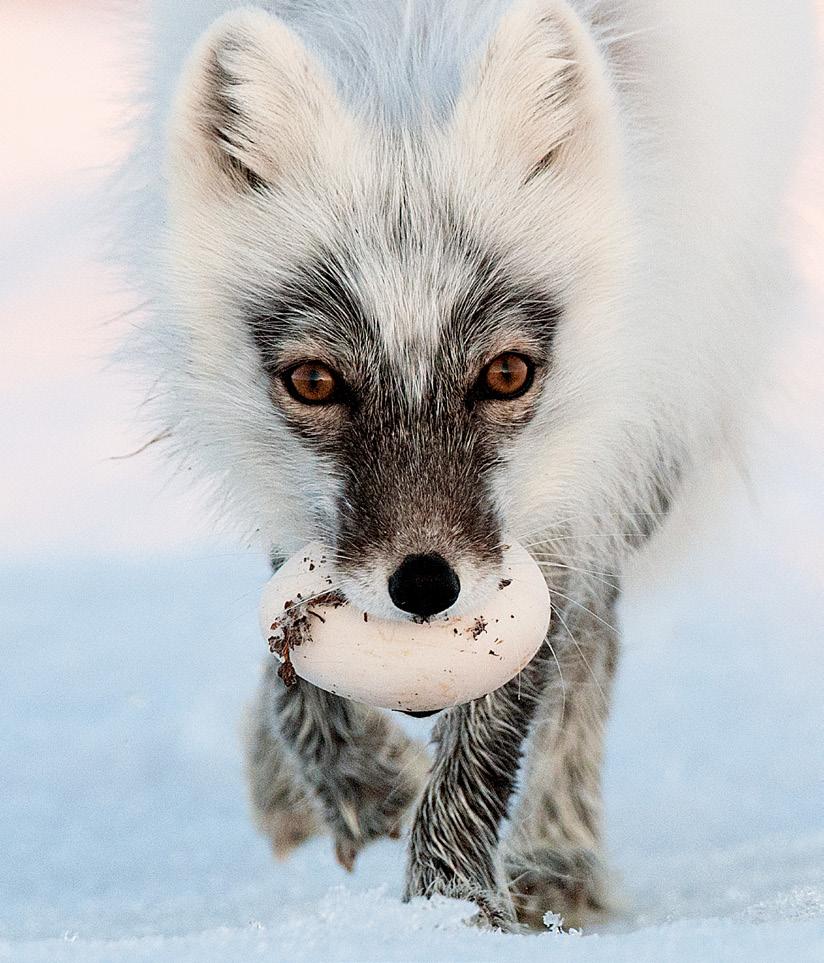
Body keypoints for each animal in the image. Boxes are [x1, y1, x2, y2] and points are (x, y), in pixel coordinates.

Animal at [120, 0, 812, 932]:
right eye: (314, 381)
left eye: (507, 373)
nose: (424, 586)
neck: (406, 38)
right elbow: (291, 633)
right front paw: (360, 783)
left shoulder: (587, 458)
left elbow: (513, 699)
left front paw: (449, 908)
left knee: (593, 637)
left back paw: (556, 856)